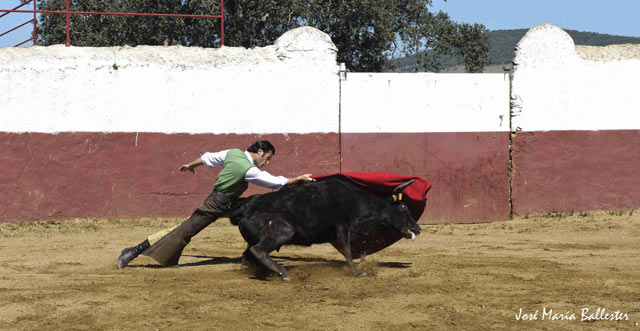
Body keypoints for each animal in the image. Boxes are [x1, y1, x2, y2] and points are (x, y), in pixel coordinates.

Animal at [230, 178, 420, 282]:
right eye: (404, 207)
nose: (417, 228)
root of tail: (245, 208)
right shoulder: (343, 227)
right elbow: (347, 251)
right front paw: (358, 271)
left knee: (247, 255)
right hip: (284, 231)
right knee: (258, 250)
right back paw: (283, 273)